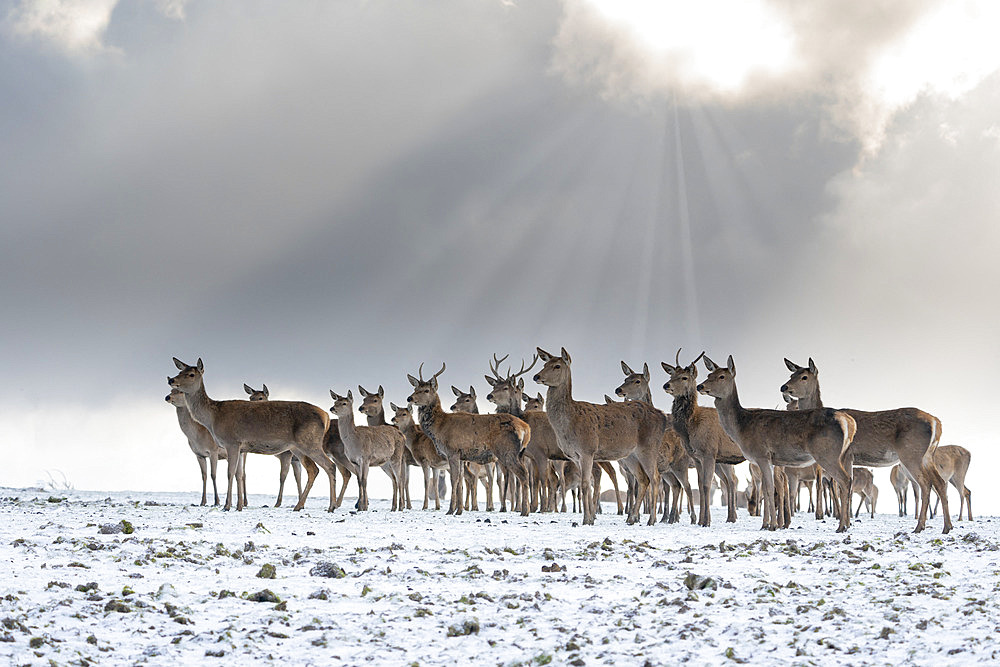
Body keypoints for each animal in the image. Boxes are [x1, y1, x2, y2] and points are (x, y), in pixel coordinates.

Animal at [165, 360, 336, 512]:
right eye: (180, 371)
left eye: (191, 374)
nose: (171, 380)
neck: (212, 418)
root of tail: (326, 416)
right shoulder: (241, 448)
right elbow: (239, 474)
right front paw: (239, 506)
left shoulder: (231, 442)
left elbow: (229, 473)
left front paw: (227, 506)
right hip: (298, 448)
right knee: (314, 469)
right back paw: (303, 505)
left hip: (309, 442)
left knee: (328, 466)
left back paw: (330, 506)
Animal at [408, 366, 536, 516]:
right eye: (415, 388)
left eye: (426, 390)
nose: (410, 398)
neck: (439, 427)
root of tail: (526, 428)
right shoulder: (461, 456)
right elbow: (461, 481)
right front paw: (459, 510)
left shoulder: (452, 451)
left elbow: (454, 480)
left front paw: (450, 510)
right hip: (519, 453)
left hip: (508, 451)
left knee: (523, 474)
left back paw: (524, 511)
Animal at [532, 350, 664, 528]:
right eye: (544, 364)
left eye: (557, 366)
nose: (536, 376)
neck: (568, 423)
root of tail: (662, 416)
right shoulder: (576, 456)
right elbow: (585, 485)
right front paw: (589, 517)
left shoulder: (587, 450)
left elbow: (585, 484)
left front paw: (587, 519)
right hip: (630, 454)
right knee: (643, 479)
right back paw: (631, 518)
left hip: (648, 447)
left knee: (655, 478)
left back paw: (651, 519)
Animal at [696, 354, 860, 532]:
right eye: (708, 374)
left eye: (721, 376)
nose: (700, 386)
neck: (742, 427)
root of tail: (848, 422)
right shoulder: (769, 461)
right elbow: (769, 489)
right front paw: (766, 524)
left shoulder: (761, 454)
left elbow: (768, 489)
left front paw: (772, 525)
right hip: (840, 455)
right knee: (846, 481)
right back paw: (845, 524)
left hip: (827, 454)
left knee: (845, 480)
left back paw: (841, 526)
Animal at [780, 358, 952, 536]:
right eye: (791, 374)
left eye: (804, 377)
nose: (784, 387)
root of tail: (936, 422)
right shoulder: (849, 459)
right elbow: (847, 489)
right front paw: (848, 523)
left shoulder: (847, 455)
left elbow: (845, 488)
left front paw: (844, 524)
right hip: (927, 456)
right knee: (940, 483)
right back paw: (946, 526)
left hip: (912, 453)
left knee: (925, 484)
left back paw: (919, 526)